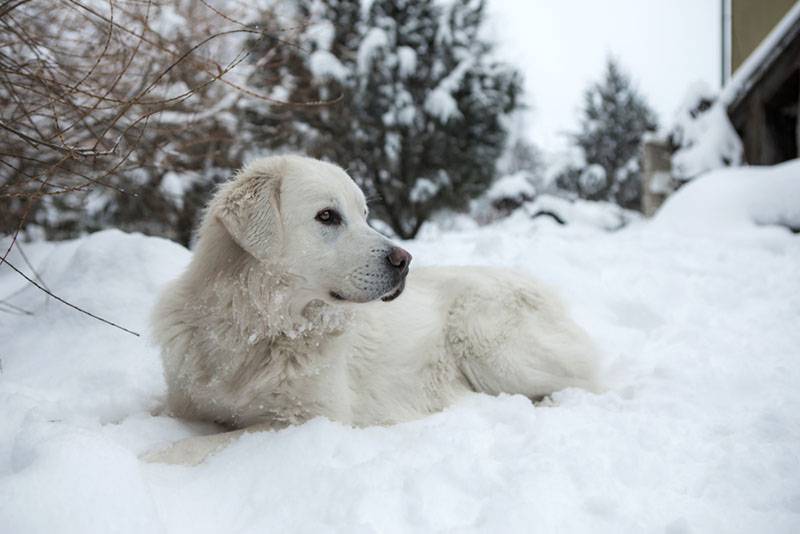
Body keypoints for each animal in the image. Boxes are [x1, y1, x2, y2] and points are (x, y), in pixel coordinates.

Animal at [147, 156, 600, 464]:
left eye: (365, 215)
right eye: (327, 216)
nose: (405, 259)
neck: (257, 327)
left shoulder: (308, 419)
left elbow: (202, 443)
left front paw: (152, 457)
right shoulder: (183, 401)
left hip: (492, 349)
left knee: (593, 380)